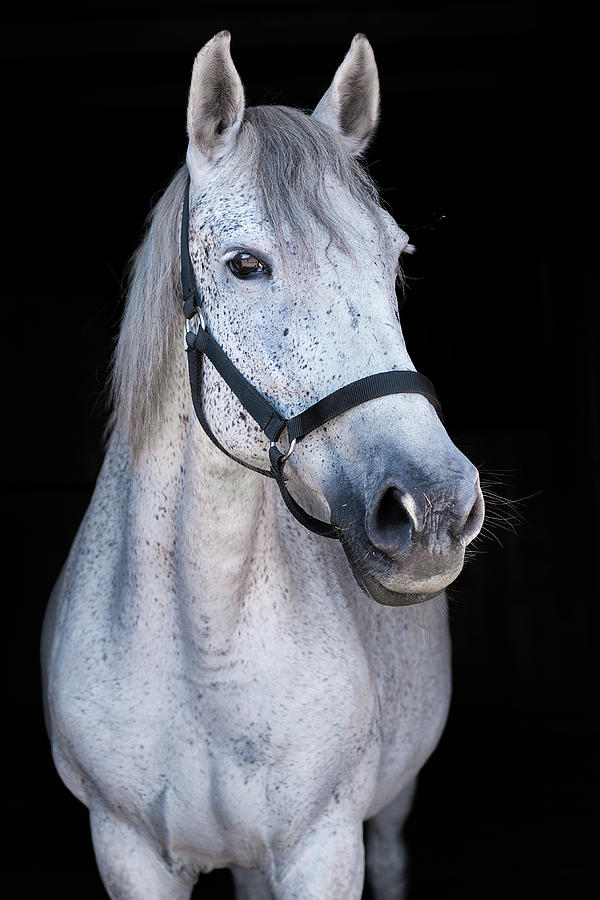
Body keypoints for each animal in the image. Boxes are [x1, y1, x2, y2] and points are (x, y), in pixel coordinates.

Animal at [42, 33, 482, 900]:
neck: (201, 649)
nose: (435, 508)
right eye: (245, 264)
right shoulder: (126, 850)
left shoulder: (324, 847)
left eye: (396, 257)